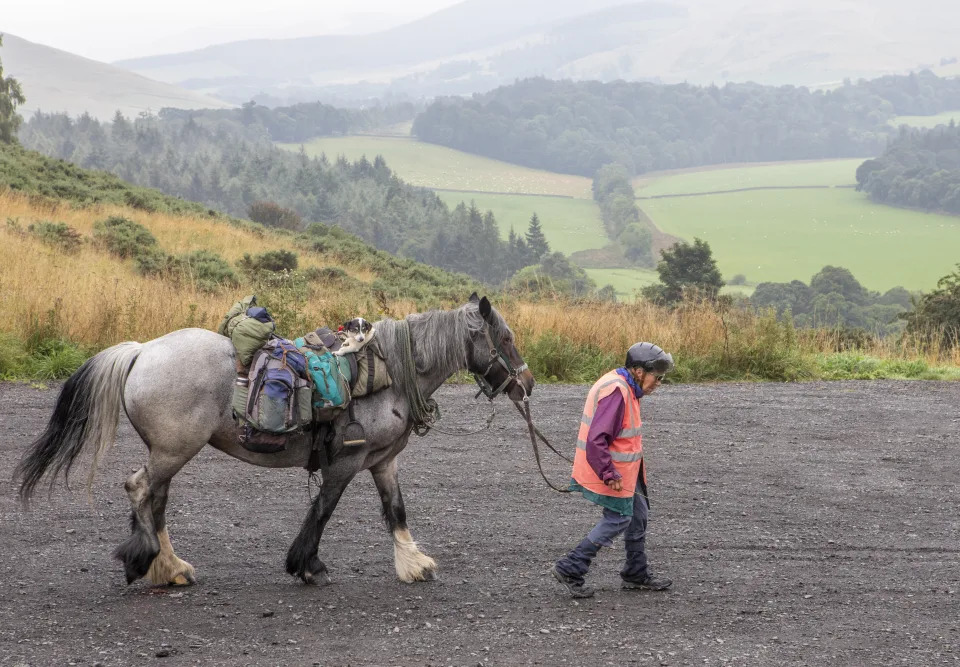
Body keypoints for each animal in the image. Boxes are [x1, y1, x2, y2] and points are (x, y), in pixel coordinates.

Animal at [15, 294, 532, 588]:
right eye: (505, 339)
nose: (527, 384)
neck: (389, 374)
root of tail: (142, 351)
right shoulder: (347, 462)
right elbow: (322, 510)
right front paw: (308, 565)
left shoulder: (383, 462)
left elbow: (396, 511)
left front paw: (414, 564)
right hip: (174, 450)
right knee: (140, 490)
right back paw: (144, 560)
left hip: (169, 452)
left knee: (154, 499)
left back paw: (171, 567)